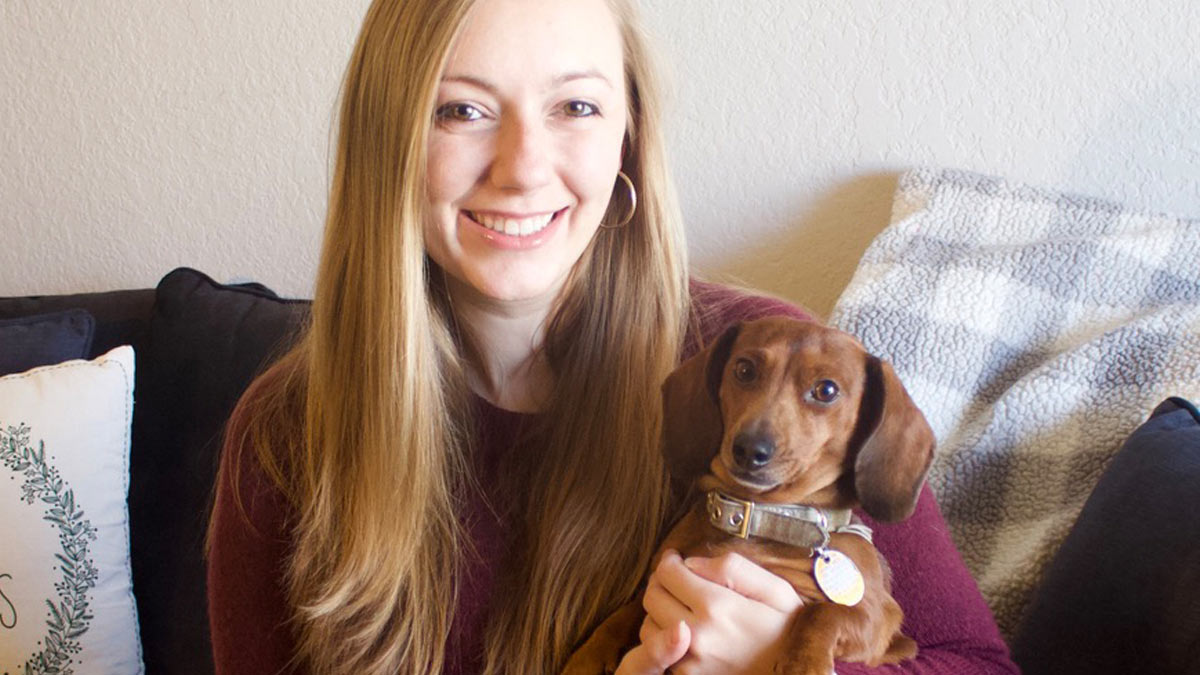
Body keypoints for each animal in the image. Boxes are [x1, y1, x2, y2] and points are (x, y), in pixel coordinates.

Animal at [564, 314, 936, 672]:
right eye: (744, 369)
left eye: (827, 390)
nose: (750, 449)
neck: (759, 515)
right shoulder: (660, 578)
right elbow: (626, 611)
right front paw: (588, 656)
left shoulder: (877, 617)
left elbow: (822, 614)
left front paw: (804, 665)